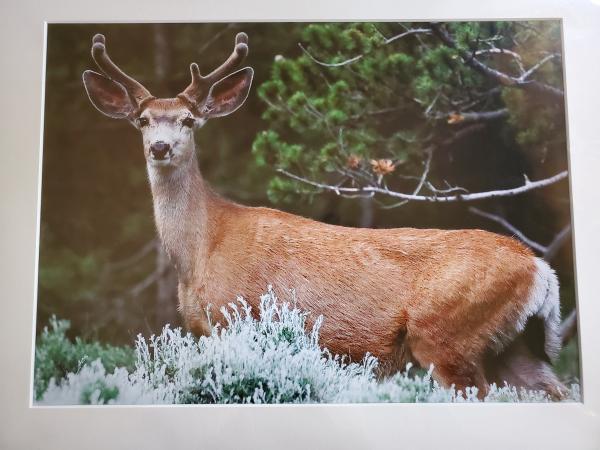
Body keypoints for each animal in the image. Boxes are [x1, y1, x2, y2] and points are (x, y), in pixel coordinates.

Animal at [82, 31, 564, 398]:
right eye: (144, 120)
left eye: (188, 120)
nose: (160, 147)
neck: (201, 249)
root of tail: (539, 268)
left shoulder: (234, 316)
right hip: (515, 346)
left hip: (445, 334)